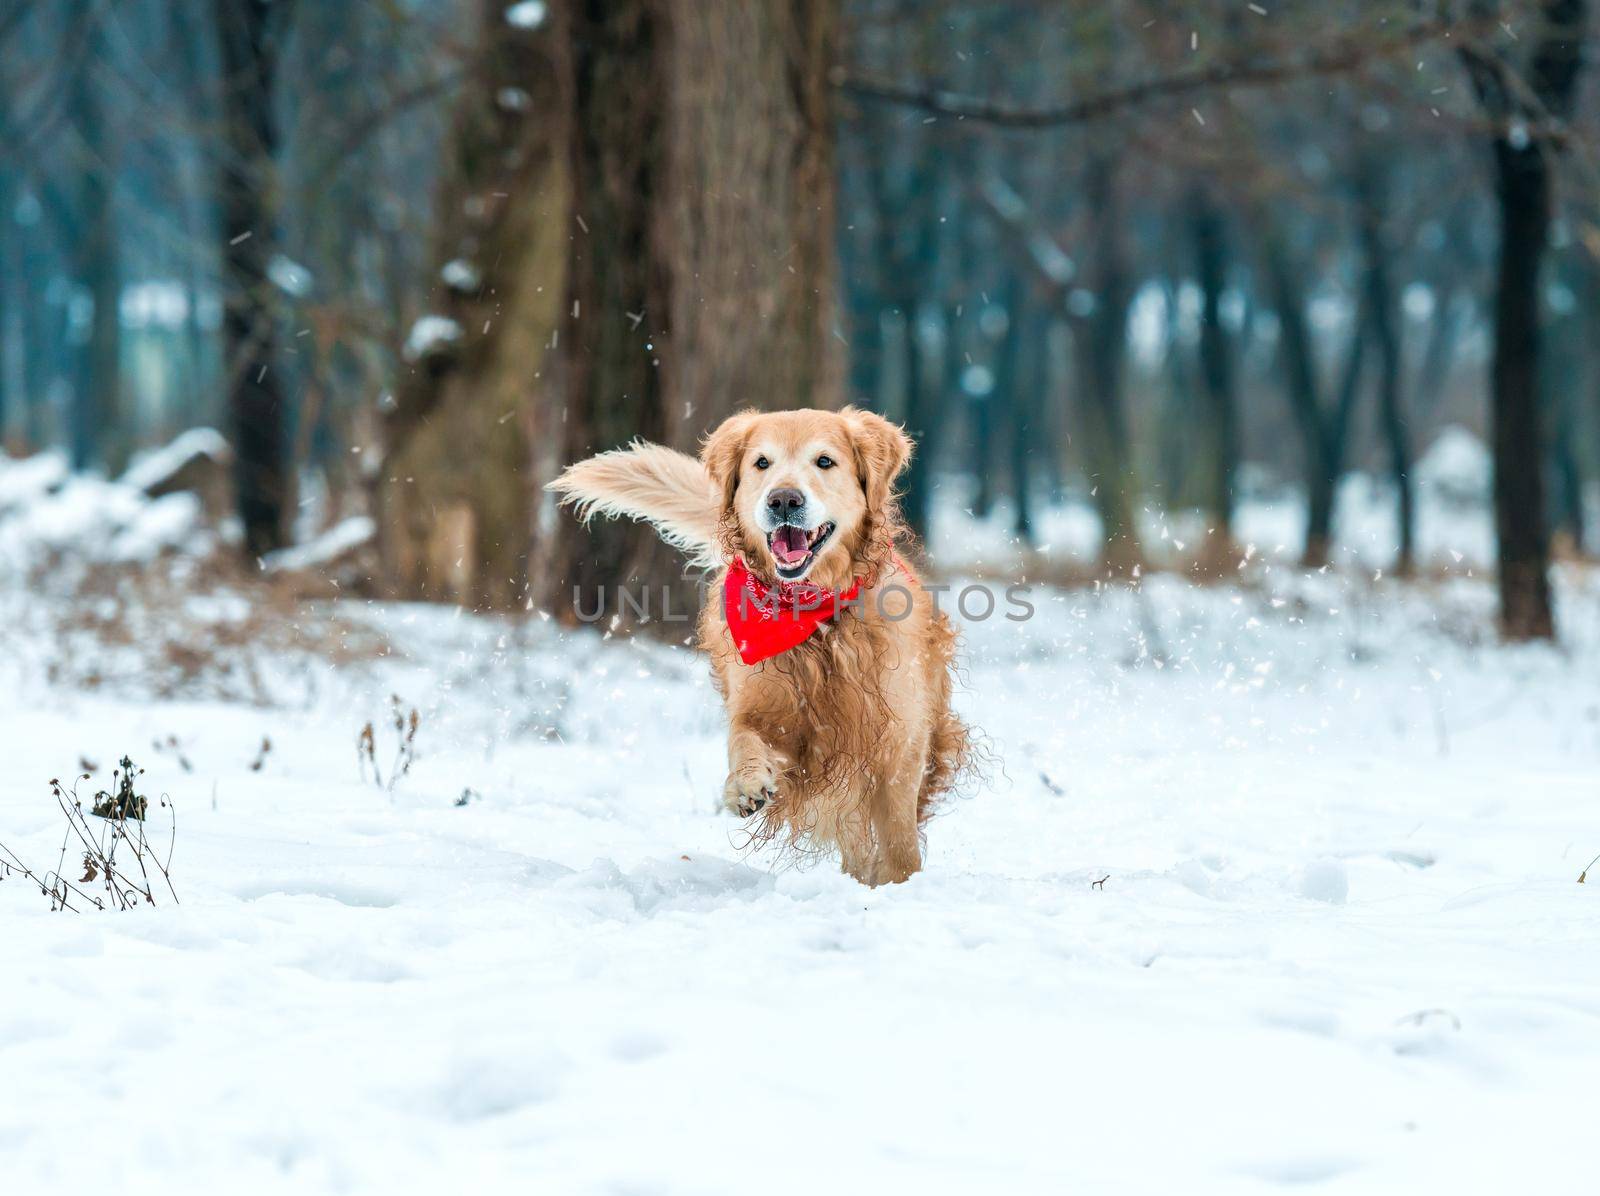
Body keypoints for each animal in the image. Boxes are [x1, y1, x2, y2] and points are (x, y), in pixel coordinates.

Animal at [550, 406, 972, 882]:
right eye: (761, 463)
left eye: (824, 461)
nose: (783, 500)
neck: (814, 619)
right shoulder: (765, 706)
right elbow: (744, 736)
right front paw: (746, 785)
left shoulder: (897, 739)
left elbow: (898, 837)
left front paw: (902, 883)